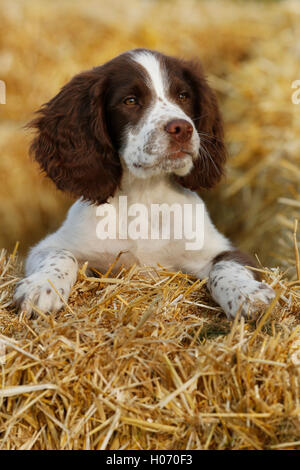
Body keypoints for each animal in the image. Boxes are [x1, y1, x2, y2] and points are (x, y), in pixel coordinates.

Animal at [14, 48, 274, 320]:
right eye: (130, 101)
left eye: (183, 96)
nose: (183, 128)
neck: (145, 195)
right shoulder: (50, 245)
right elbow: (60, 255)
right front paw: (41, 288)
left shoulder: (220, 249)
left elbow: (227, 266)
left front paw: (248, 294)